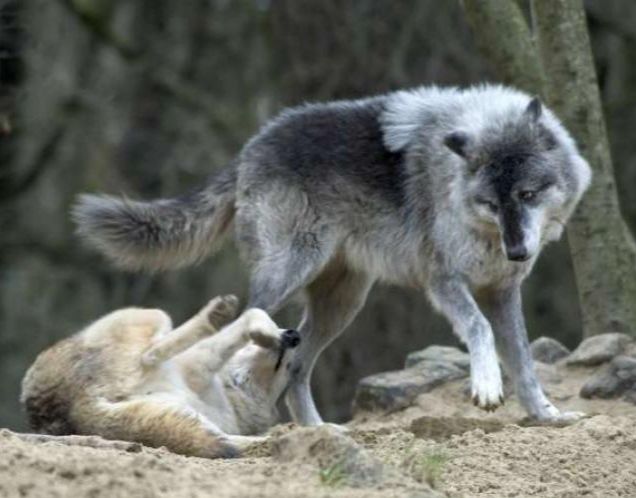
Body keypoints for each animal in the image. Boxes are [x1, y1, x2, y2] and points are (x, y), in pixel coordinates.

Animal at [19, 294, 298, 458]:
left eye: (289, 369)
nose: (295, 335)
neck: (230, 394)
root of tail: (78, 404)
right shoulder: (200, 363)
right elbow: (254, 314)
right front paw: (264, 332)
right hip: (150, 314)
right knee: (151, 353)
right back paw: (216, 314)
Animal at [73, 84, 592, 424]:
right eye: (491, 203)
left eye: (526, 195)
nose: (518, 251)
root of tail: (251, 146)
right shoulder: (444, 281)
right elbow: (480, 330)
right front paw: (486, 388)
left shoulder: (502, 291)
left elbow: (523, 360)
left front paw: (548, 415)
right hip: (289, 273)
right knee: (244, 326)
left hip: (341, 305)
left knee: (296, 366)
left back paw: (317, 433)